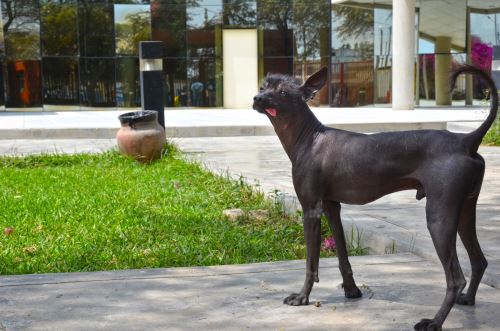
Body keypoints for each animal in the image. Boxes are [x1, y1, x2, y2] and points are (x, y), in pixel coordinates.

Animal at [252, 65, 498, 331]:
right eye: (263, 86)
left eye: (283, 92)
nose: (257, 98)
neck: (309, 137)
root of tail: (466, 140)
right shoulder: (331, 207)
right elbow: (342, 255)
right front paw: (351, 291)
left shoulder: (311, 211)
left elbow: (311, 262)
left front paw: (302, 297)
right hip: (464, 211)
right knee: (479, 261)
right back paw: (468, 300)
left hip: (439, 218)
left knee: (456, 278)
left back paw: (434, 322)